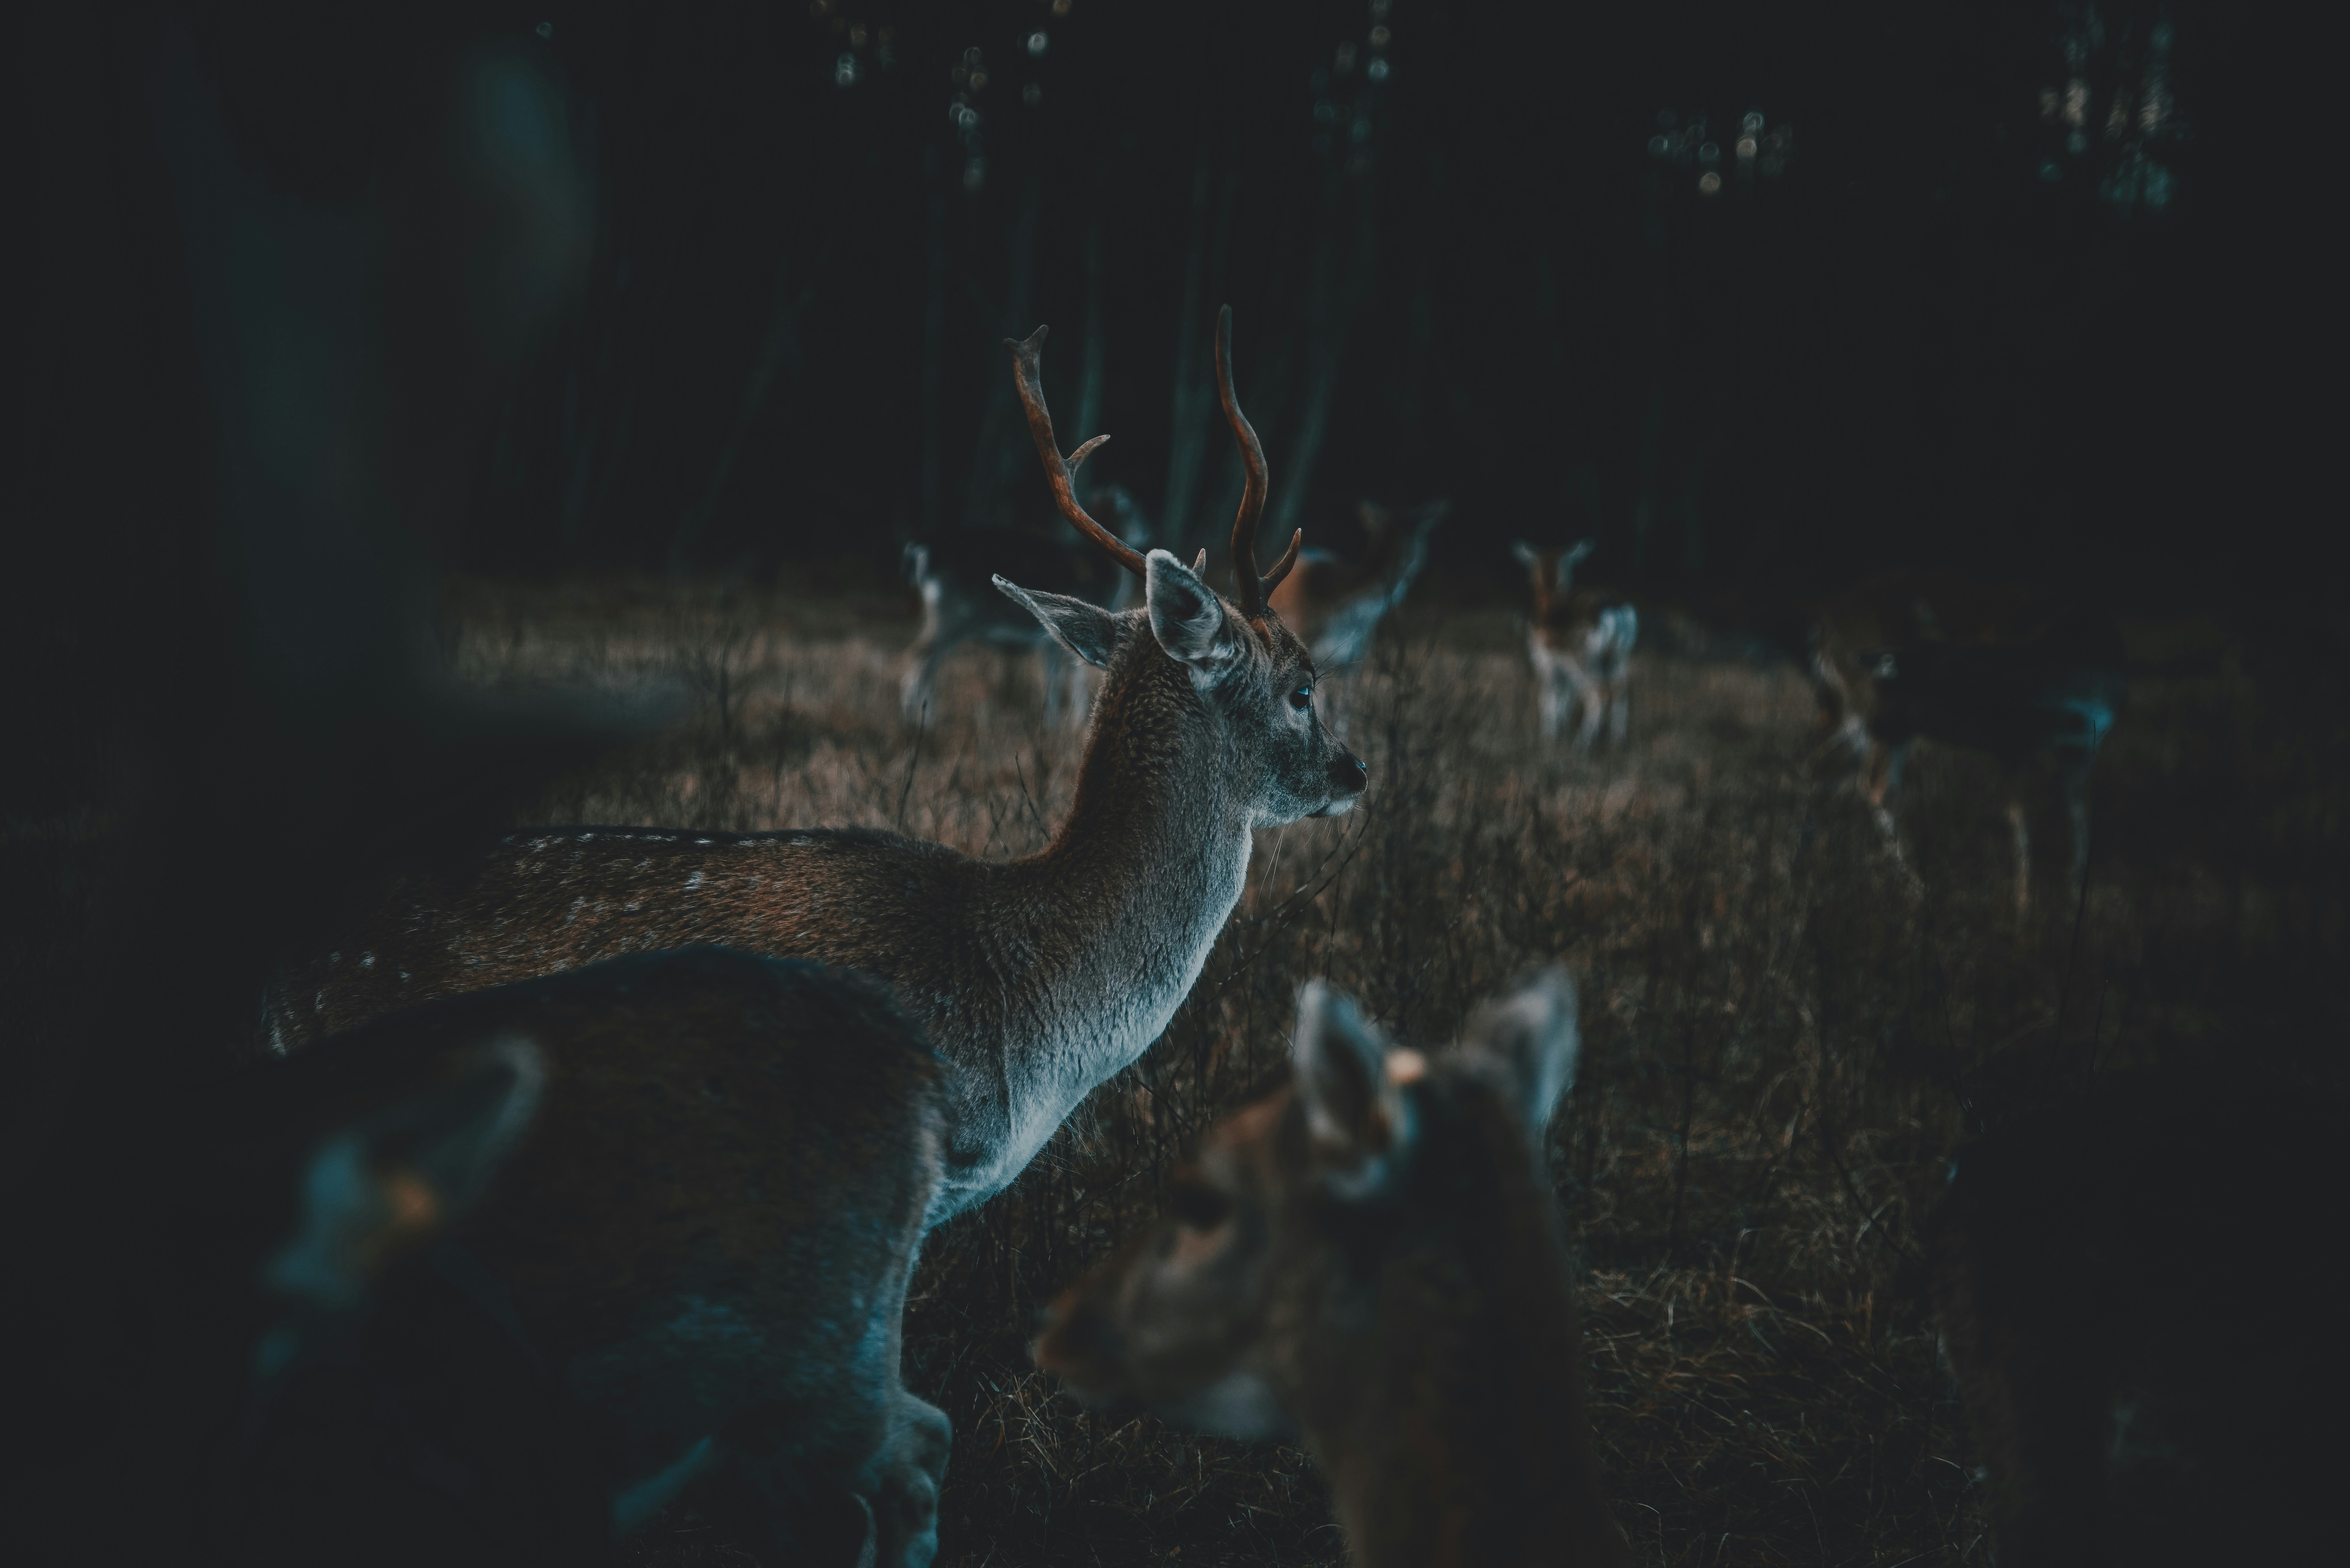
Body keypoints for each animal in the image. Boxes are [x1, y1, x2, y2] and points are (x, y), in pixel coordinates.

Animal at [899, 484, 1152, 729]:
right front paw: (1077, 722)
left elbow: (1053, 678)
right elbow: (1076, 676)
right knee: (918, 655)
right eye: (1133, 510)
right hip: (953, 614)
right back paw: (915, 722)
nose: (1148, 535)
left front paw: (1051, 723)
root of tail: (920, 548)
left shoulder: (1051, 641)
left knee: (930, 663)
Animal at [1511, 539, 1639, 753]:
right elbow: (1565, 698)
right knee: (1621, 691)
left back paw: (1581, 747)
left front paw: (1549, 739)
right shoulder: (1562, 668)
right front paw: (1561, 733)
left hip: (1585, 659)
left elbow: (1549, 697)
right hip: (1621, 655)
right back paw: (1618, 742)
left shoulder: (1544, 662)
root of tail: (1616, 610)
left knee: (1599, 694)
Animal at [1807, 572, 2127, 917]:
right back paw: (1917, 889)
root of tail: (1825, 624)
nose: (1876, 663)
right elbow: (2021, 824)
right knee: (1875, 787)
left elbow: (2080, 820)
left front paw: (2075, 896)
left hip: (1866, 723)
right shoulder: (2014, 746)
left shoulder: (2080, 748)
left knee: (1831, 769)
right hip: (1876, 722)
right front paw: (2024, 907)